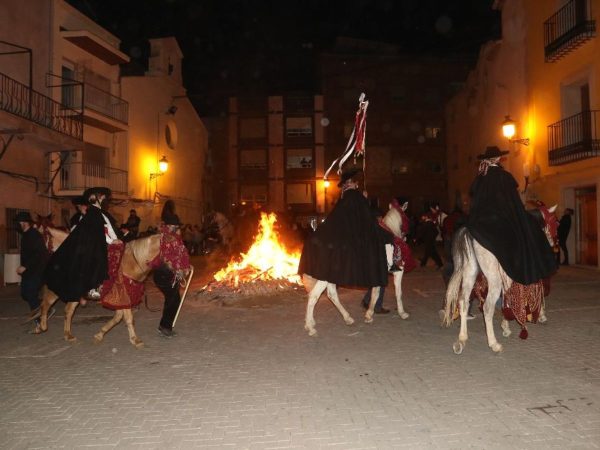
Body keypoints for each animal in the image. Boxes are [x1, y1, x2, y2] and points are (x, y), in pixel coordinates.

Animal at [302, 204, 410, 338]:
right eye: (405, 216)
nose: (405, 236)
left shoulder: (378, 275)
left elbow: (375, 292)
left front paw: (369, 314)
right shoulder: (397, 271)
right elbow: (397, 293)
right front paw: (402, 313)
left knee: (331, 294)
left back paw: (346, 318)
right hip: (324, 278)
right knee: (314, 296)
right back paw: (310, 328)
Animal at [440, 205, 556, 356]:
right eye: (554, 221)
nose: (552, 243)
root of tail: (469, 232)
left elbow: (506, 298)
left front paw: (506, 325)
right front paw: (539, 315)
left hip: (471, 273)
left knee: (463, 301)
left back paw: (462, 339)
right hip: (493, 279)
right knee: (487, 307)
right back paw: (494, 343)